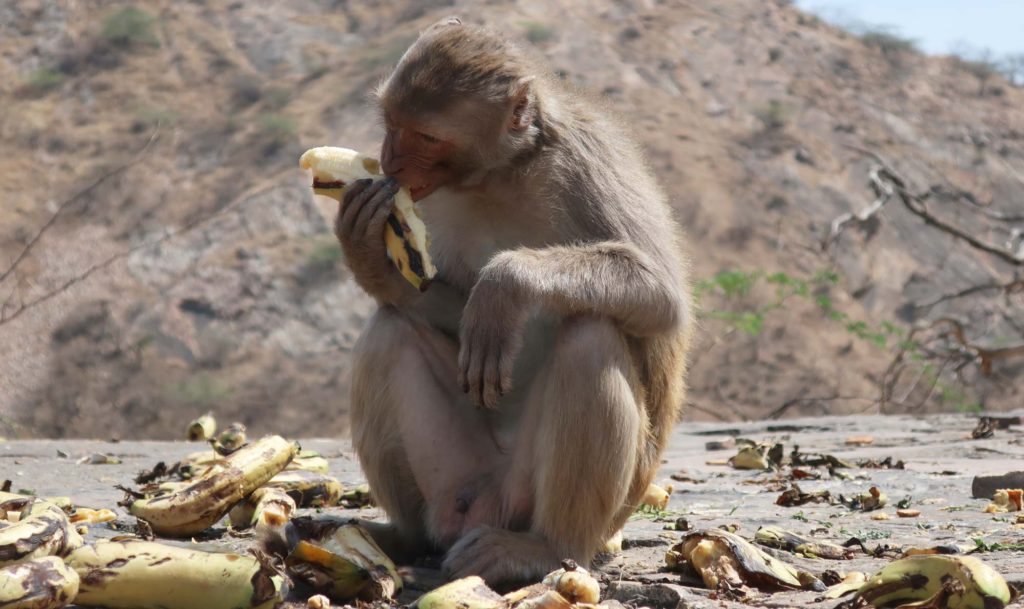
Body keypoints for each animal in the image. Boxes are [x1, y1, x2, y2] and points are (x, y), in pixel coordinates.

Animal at [334, 17, 693, 585]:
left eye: (426, 136)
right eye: (390, 122)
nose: (387, 160)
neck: (499, 173)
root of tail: (488, 505)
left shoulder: (588, 159)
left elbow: (661, 292)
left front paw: (505, 285)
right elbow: (444, 305)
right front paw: (370, 256)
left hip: (562, 497)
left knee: (591, 337)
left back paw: (546, 548)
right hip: (461, 471)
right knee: (389, 330)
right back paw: (406, 538)